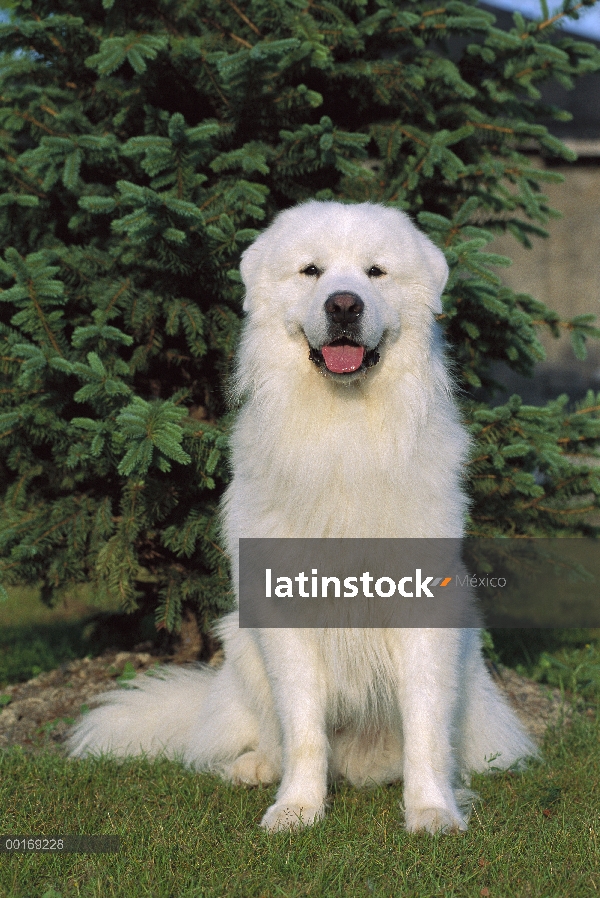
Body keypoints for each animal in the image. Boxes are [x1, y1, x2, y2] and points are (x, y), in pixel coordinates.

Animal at [69, 201, 536, 832]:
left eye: (375, 272)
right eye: (311, 271)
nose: (343, 304)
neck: (343, 429)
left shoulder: (421, 615)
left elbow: (424, 729)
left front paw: (432, 811)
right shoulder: (286, 620)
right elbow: (304, 731)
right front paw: (297, 808)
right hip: (242, 642)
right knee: (269, 733)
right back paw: (255, 768)